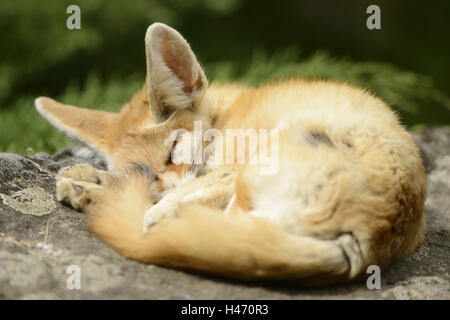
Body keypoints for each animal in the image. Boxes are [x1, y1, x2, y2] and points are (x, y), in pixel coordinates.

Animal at [34, 23, 426, 286]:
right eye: (147, 169)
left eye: (173, 151)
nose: (167, 183)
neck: (225, 115)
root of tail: (373, 232)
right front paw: (91, 180)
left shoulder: (219, 171)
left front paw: (91, 184)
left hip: (250, 174)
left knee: (165, 224)